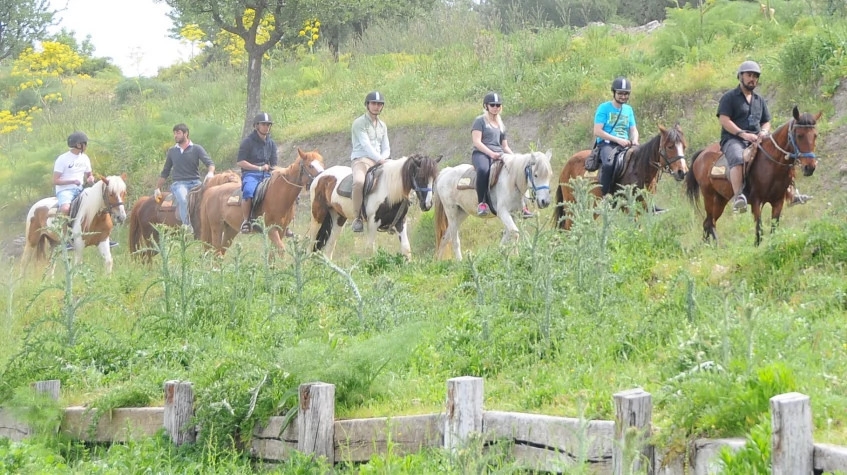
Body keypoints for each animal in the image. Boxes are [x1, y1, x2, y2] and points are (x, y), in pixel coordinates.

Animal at [308, 154, 442, 261]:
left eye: (434, 178)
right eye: (421, 177)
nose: (427, 204)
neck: (388, 189)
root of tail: (320, 176)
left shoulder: (400, 221)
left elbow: (406, 248)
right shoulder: (373, 222)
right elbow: (370, 249)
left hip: (338, 219)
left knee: (330, 245)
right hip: (318, 216)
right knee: (311, 241)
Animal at [552, 124, 688, 230]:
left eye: (684, 146)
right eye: (670, 146)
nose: (682, 172)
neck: (639, 169)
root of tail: (566, 165)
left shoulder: (644, 205)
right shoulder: (629, 207)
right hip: (571, 203)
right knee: (568, 227)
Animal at [685, 106, 820, 245]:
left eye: (815, 135)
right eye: (799, 135)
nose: (810, 167)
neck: (771, 165)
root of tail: (702, 154)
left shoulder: (778, 201)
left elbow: (774, 229)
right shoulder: (756, 201)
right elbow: (759, 231)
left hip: (720, 199)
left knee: (708, 222)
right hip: (709, 196)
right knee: (710, 222)